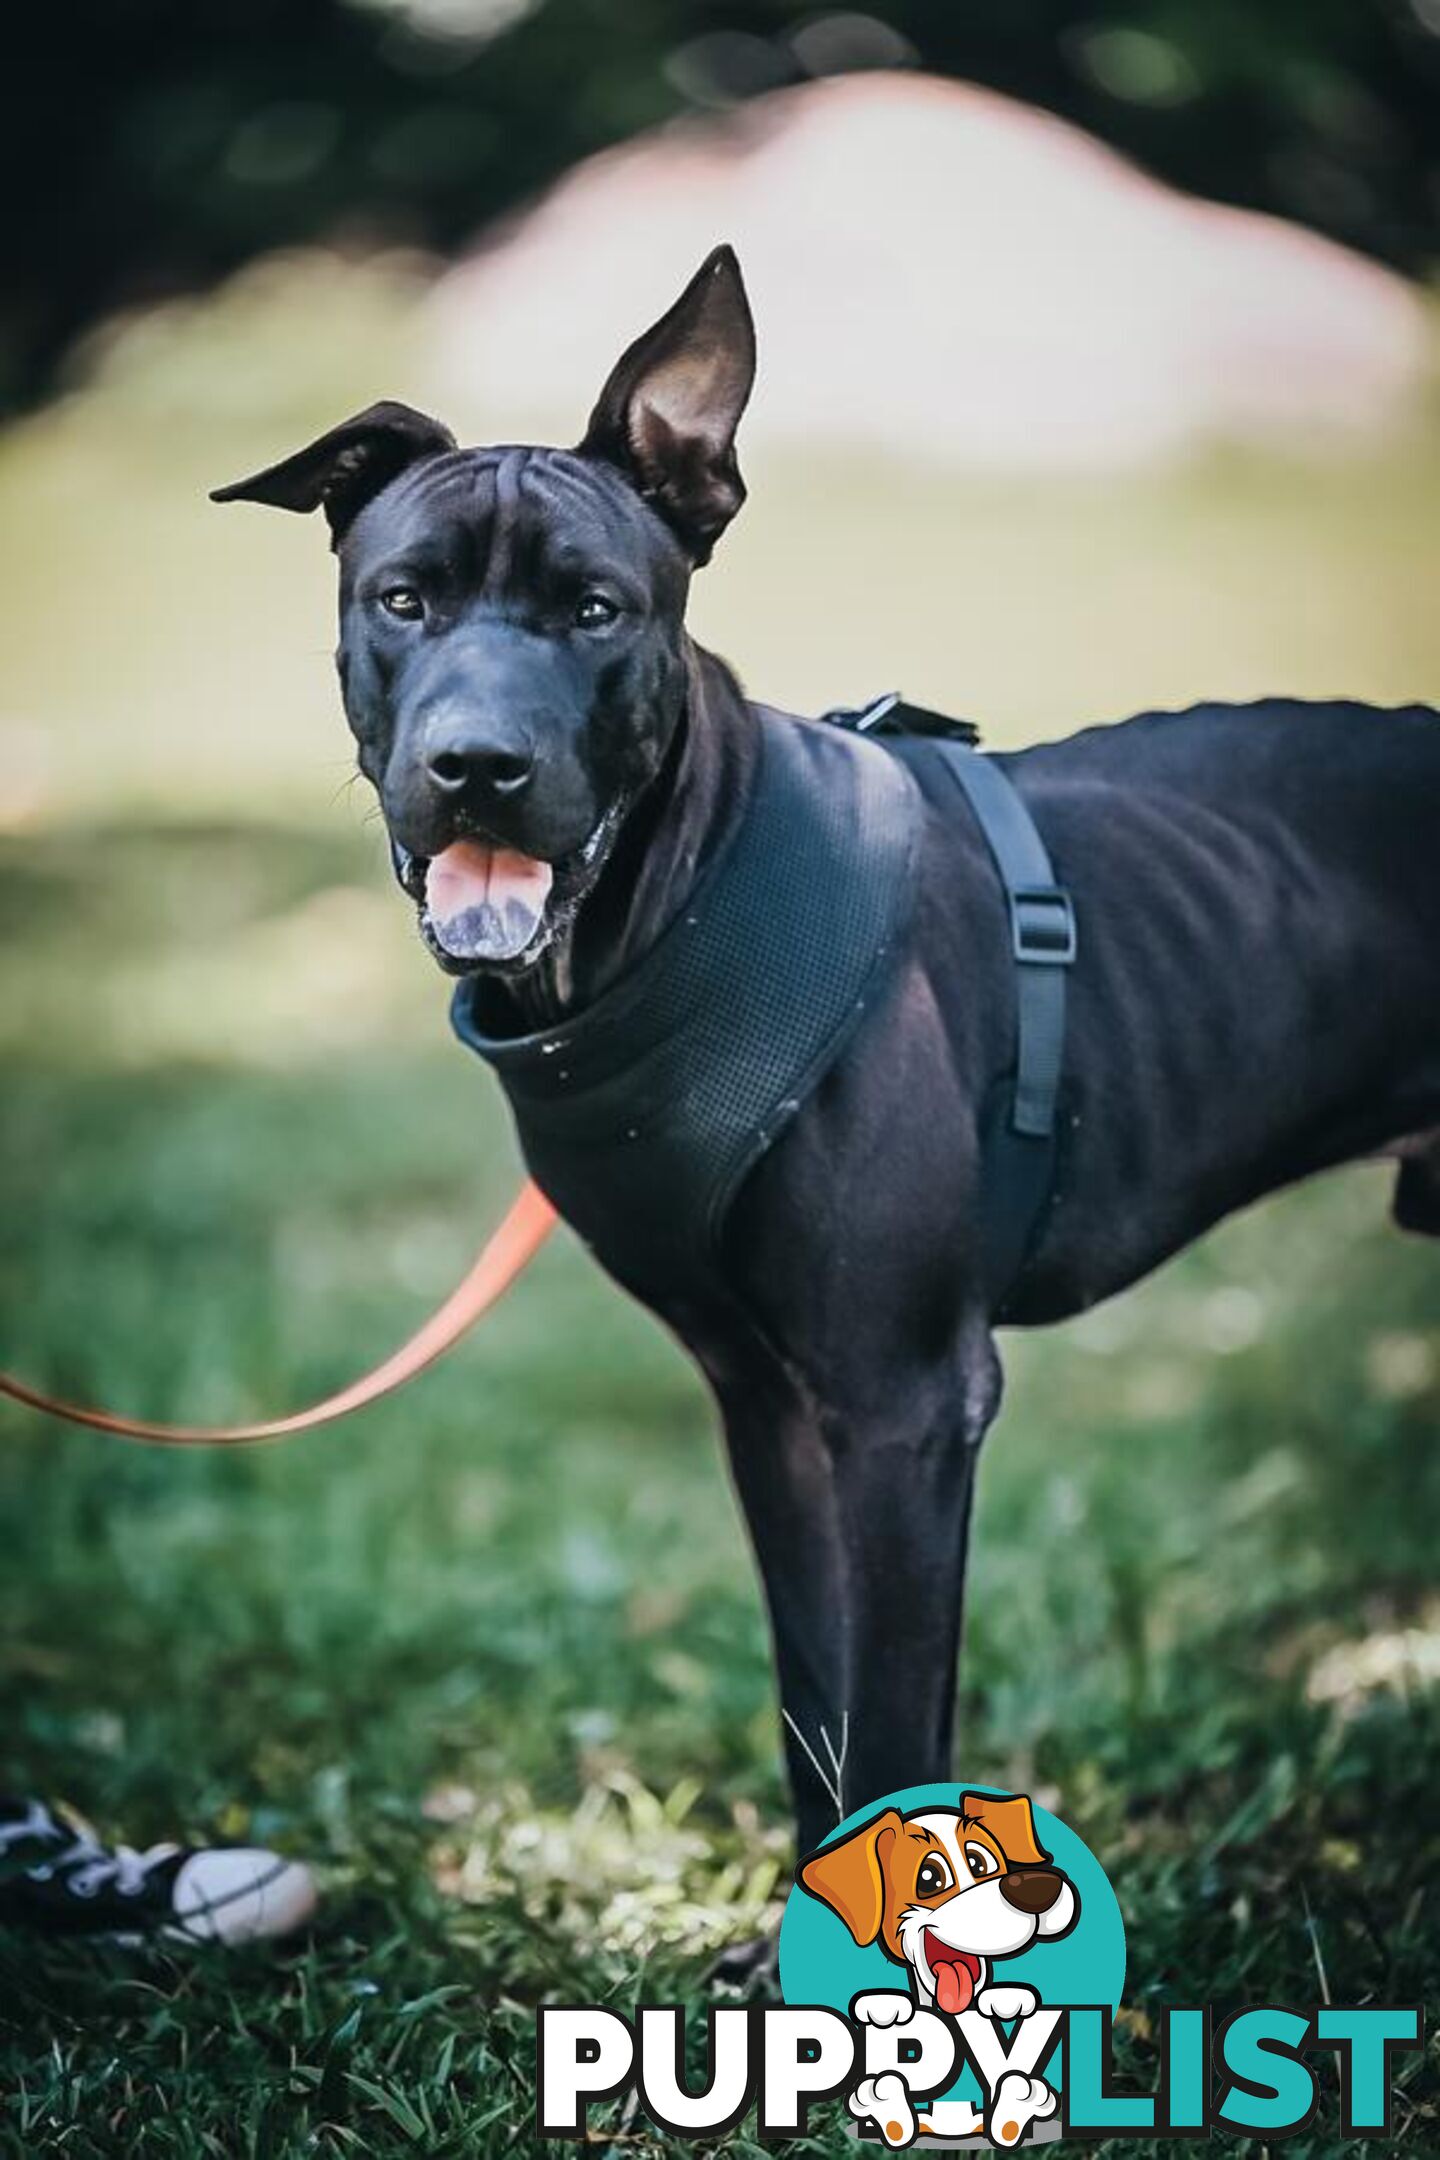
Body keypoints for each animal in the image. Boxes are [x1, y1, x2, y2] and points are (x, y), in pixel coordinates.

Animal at [216, 245, 1440, 1848]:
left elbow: (898, 1719)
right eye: (403, 599)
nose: (475, 766)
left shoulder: (908, 1405)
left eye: (597, 610)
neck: (672, 905)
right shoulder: (769, 1408)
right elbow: (821, 1715)